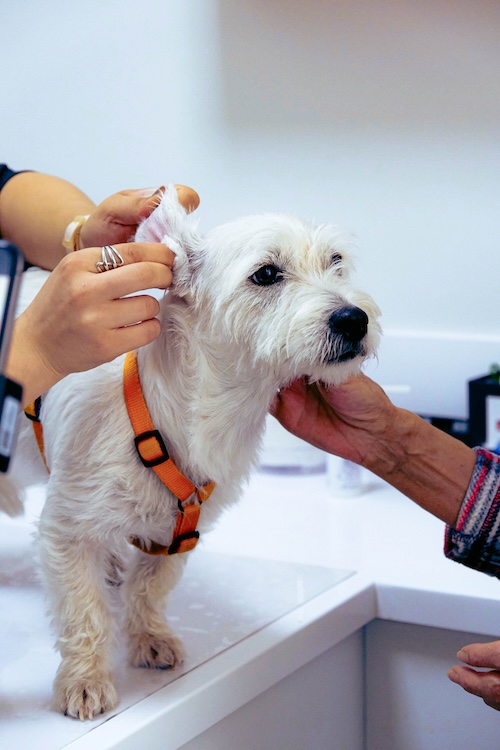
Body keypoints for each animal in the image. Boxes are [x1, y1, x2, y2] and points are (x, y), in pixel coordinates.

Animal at [0, 186, 381, 719]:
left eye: (336, 262)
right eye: (266, 273)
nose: (354, 318)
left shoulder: (179, 534)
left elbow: (149, 587)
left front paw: (149, 637)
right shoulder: (67, 532)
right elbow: (83, 612)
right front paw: (85, 680)